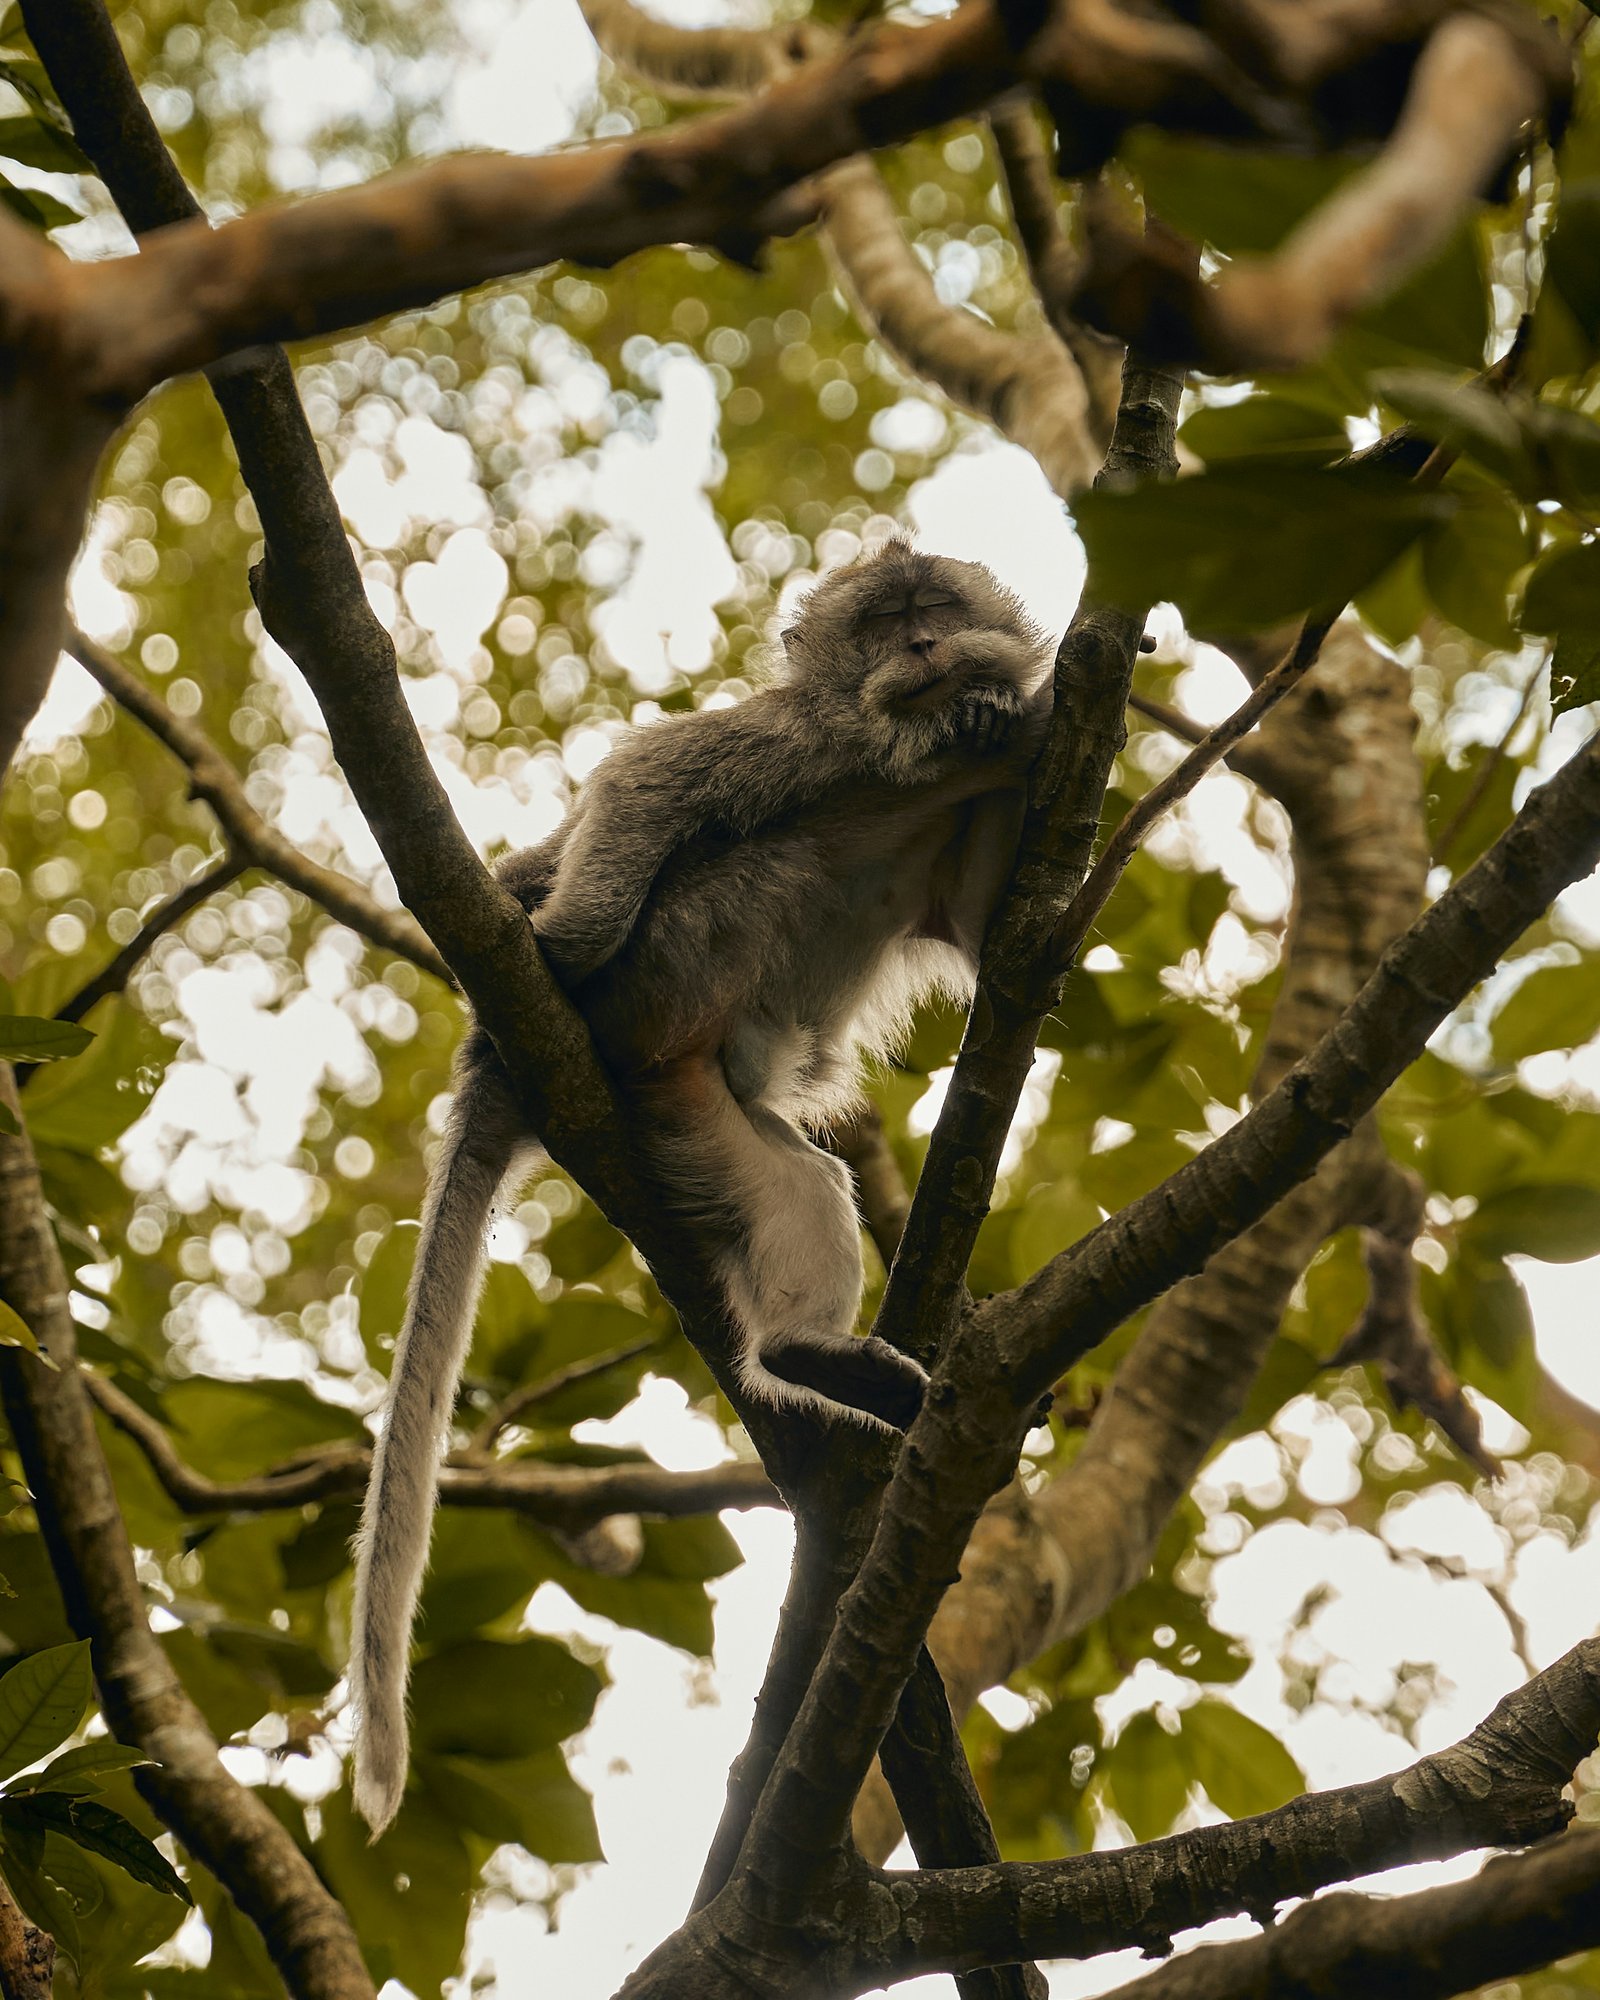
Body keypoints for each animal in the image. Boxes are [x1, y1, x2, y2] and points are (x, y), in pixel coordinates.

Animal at [349, 541, 1054, 1834]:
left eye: (935, 609)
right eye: (883, 625)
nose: (925, 647)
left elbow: (1002, 943)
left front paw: (992, 711)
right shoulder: (788, 741)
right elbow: (640, 785)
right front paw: (558, 928)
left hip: (677, 1110)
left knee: (799, 1182)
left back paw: (802, 1352)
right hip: (669, 963)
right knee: (729, 867)